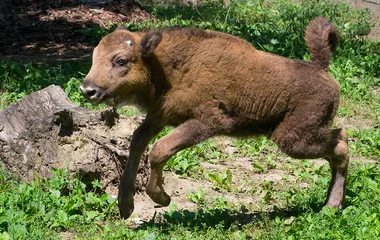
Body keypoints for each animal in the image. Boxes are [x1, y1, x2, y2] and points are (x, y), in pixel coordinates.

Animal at [81, 17, 348, 219]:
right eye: (94, 57)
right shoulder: (158, 116)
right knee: (339, 143)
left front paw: (162, 198)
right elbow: (138, 142)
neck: (166, 66)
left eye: (121, 60)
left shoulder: (207, 122)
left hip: (294, 140)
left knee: (342, 146)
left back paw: (331, 206)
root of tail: (321, 70)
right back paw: (330, 204)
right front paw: (125, 206)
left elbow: (159, 149)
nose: (88, 89)